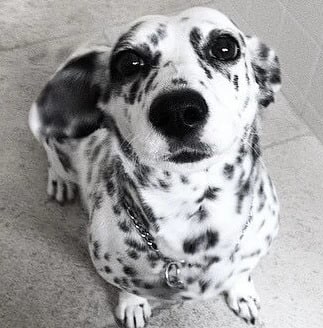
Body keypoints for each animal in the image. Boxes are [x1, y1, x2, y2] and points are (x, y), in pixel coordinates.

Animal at [29, 6, 282, 326]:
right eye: (128, 62)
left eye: (225, 47)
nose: (178, 111)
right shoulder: (113, 268)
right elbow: (127, 287)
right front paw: (133, 304)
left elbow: (242, 272)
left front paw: (242, 292)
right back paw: (60, 181)